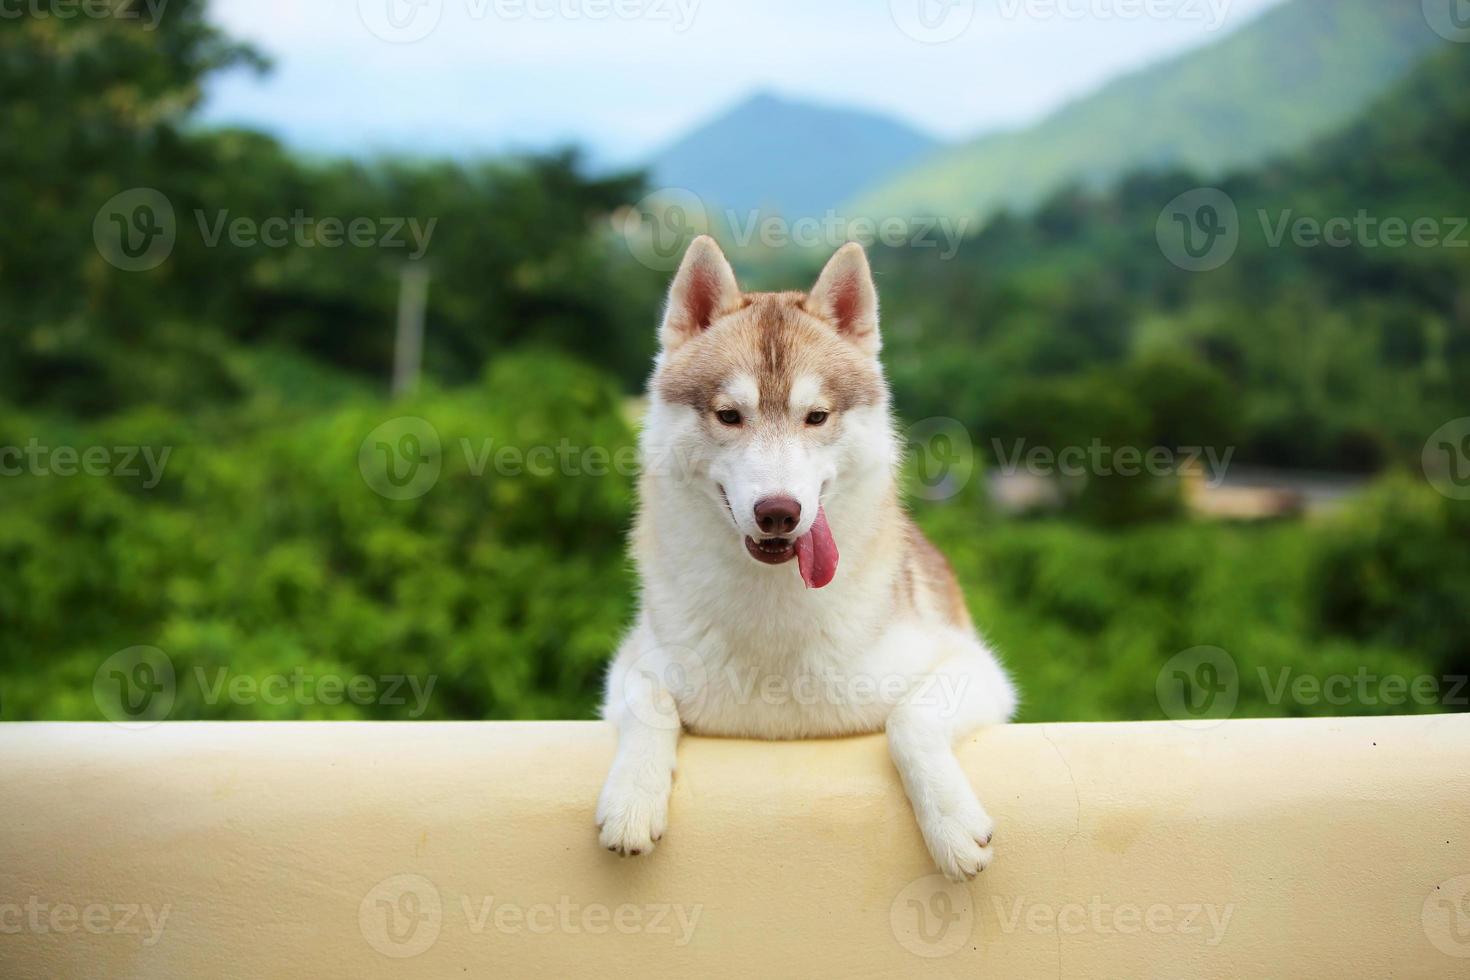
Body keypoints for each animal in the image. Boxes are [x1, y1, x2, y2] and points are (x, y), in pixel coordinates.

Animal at [590, 235, 1017, 881]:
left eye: (816, 416)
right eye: (729, 415)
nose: (778, 512)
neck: (773, 617)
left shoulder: (973, 666)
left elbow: (910, 720)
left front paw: (951, 823)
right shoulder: (630, 665)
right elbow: (649, 698)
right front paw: (632, 797)